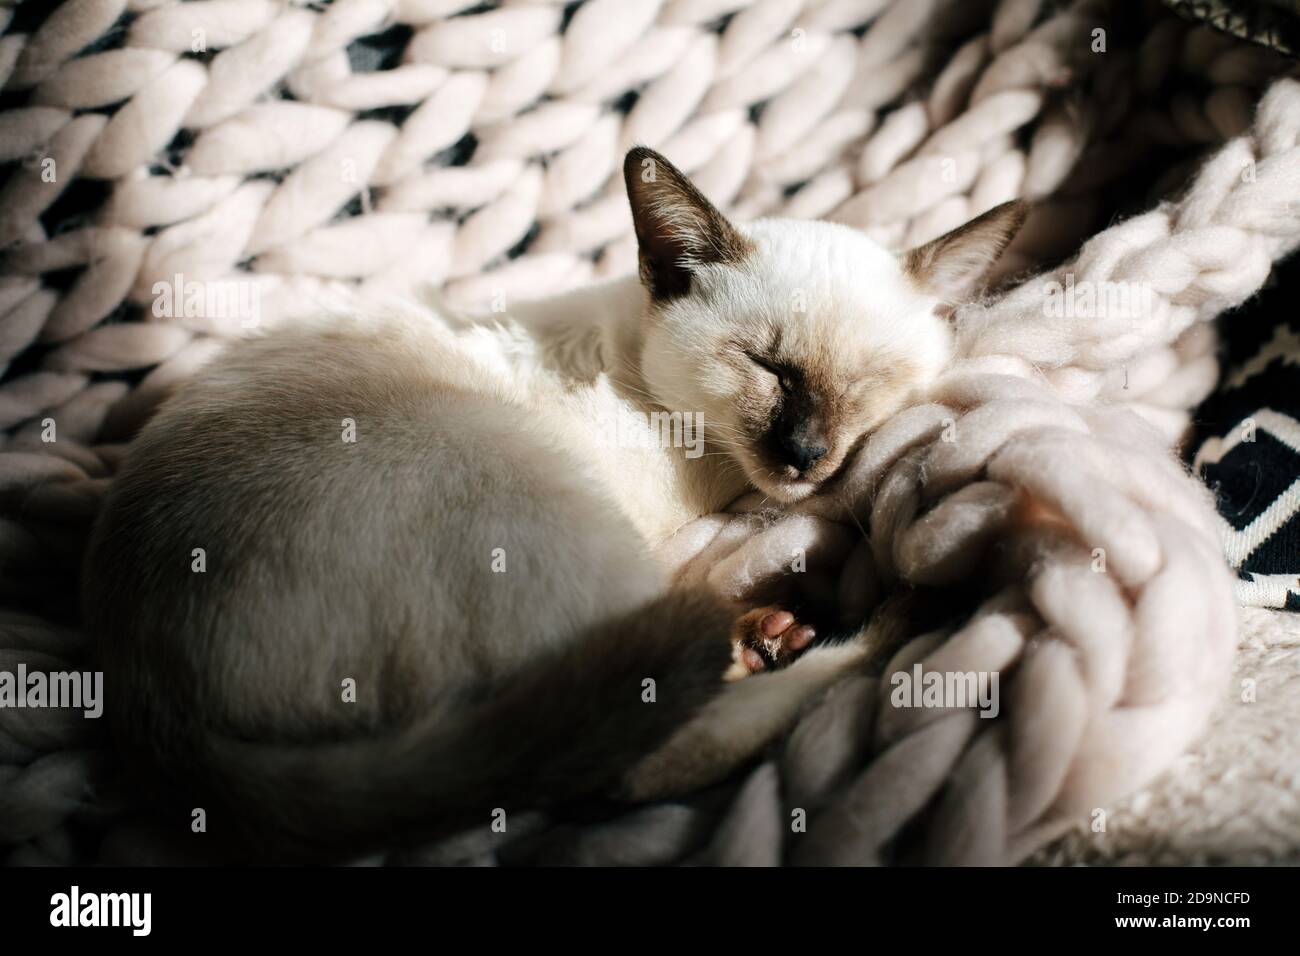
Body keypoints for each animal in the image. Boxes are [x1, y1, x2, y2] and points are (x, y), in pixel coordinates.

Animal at [81, 149, 1024, 858]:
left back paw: (768, 633)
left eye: (866, 382)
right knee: (650, 747)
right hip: (534, 500)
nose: (803, 454)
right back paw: (864, 618)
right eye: (769, 368)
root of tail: (148, 698)